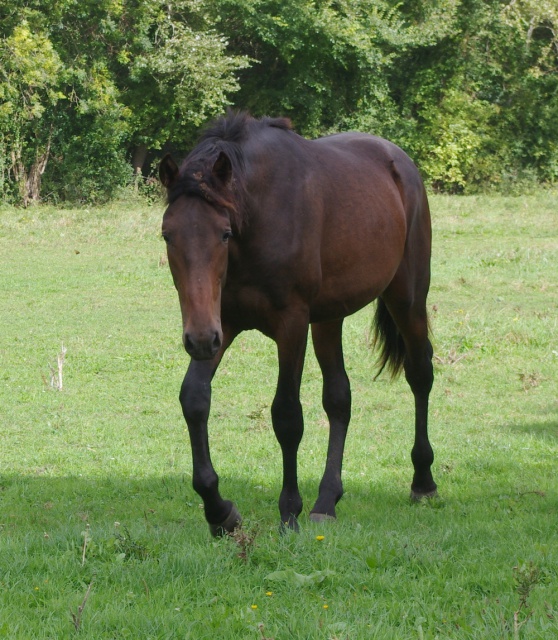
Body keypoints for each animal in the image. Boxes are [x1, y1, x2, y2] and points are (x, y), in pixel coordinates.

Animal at [160, 111, 440, 536]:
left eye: (223, 234)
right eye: (167, 236)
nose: (199, 340)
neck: (258, 215)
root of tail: (400, 161)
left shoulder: (290, 324)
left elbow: (287, 416)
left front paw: (289, 511)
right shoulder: (222, 321)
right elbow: (194, 399)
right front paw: (220, 511)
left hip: (406, 298)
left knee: (420, 373)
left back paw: (423, 482)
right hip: (328, 318)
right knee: (339, 398)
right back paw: (327, 500)